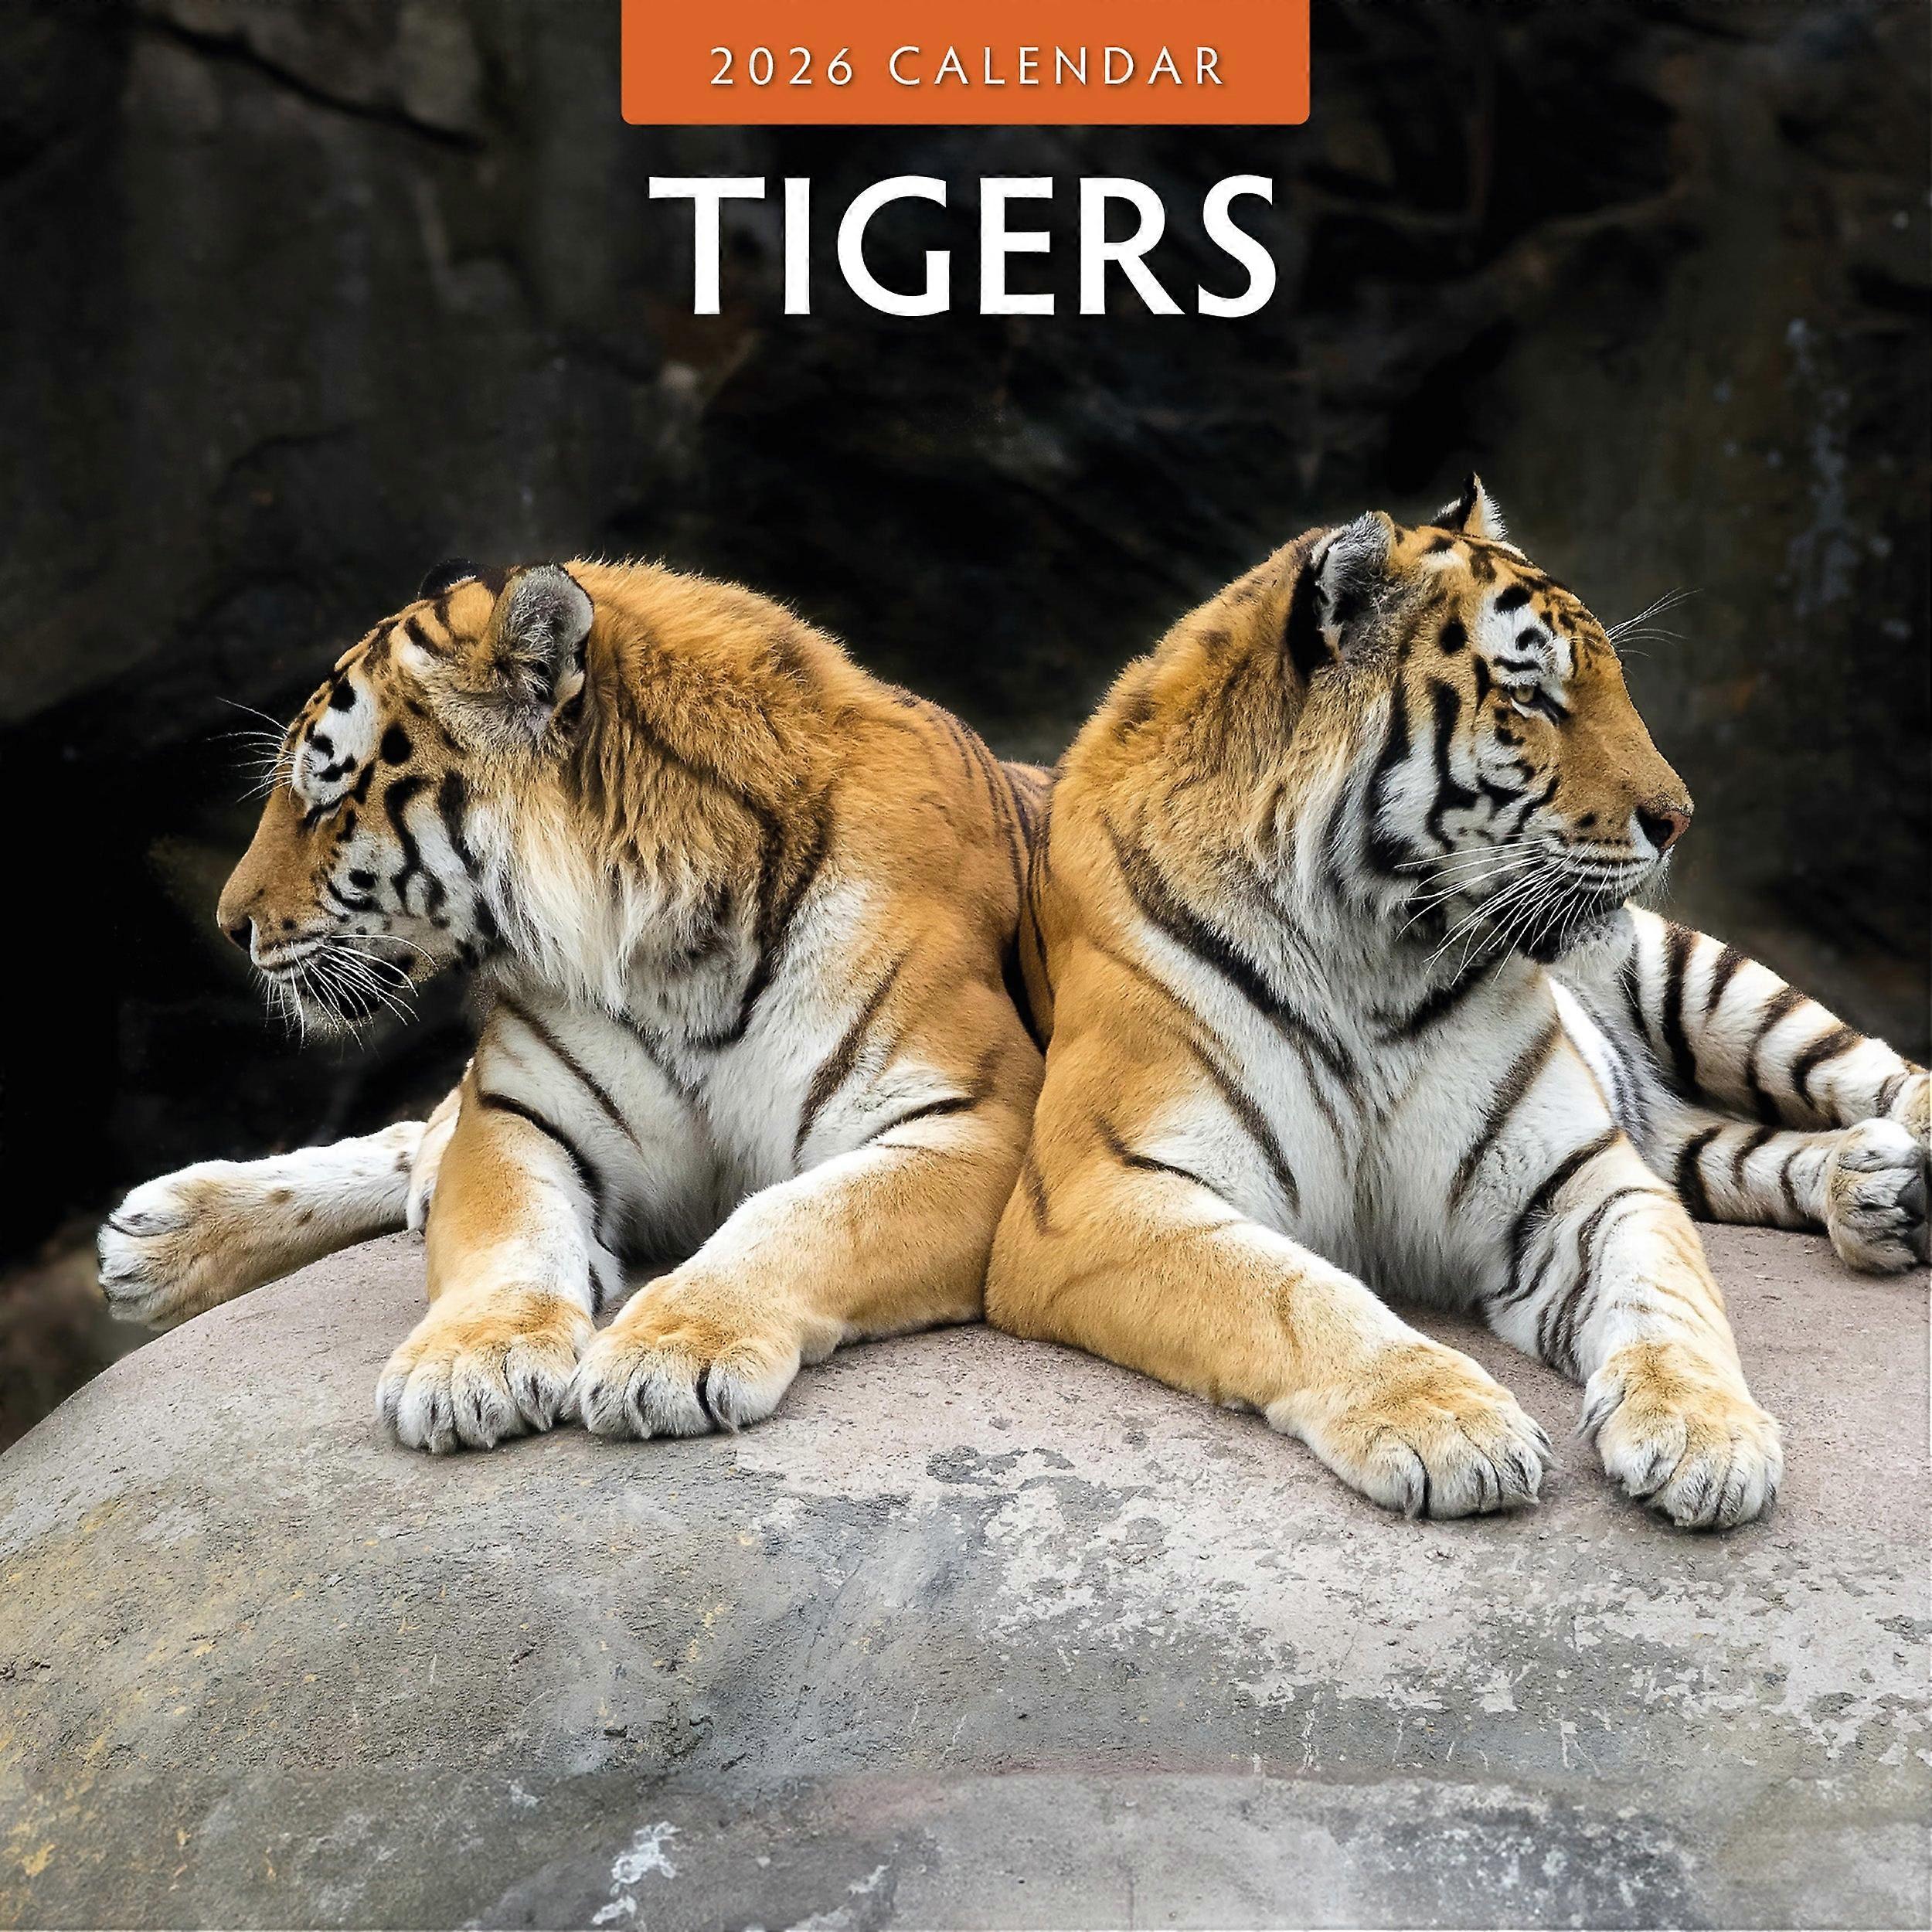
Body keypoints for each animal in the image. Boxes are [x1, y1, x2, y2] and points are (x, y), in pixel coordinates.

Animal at [98, 557, 1046, 1452]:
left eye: (326, 797)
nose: (232, 927)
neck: (673, 948)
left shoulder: (977, 1123)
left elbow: (796, 1218)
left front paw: (668, 1353)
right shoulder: (519, 1112)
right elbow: (508, 1235)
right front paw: (469, 1366)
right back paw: (159, 1234)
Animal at [988, 478, 1927, 1531]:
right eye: (1529, 695)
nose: (1679, 820)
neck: (1368, 951)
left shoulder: (1579, 1177)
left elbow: (1666, 1298)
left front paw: (1704, 1433)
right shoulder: (1102, 1190)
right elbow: (1293, 1296)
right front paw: (1452, 1426)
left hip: (1700, 977)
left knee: (1871, 1069)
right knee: (1719, 1149)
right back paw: (1874, 1190)